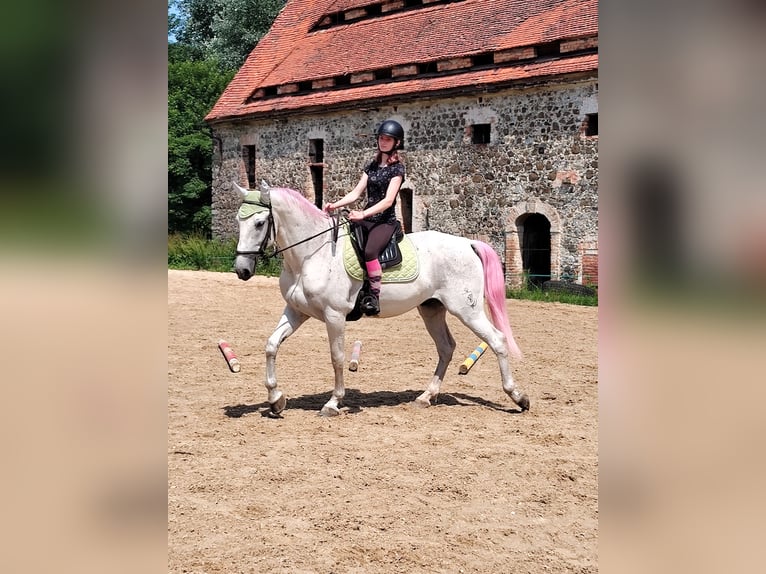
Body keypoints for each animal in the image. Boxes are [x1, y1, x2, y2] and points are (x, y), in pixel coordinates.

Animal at [234, 182, 532, 416]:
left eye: (260, 223)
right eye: (239, 221)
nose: (242, 270)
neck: (311, 253)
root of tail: (468, 243)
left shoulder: (334, 315)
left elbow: (337, 357)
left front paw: (333, 403)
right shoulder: (297, 311)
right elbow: (271, 345)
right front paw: (275, 399)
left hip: (467, 310)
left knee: (497, 340)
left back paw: (518, 397)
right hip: (432, 309)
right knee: (446, 347)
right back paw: (426, 397)